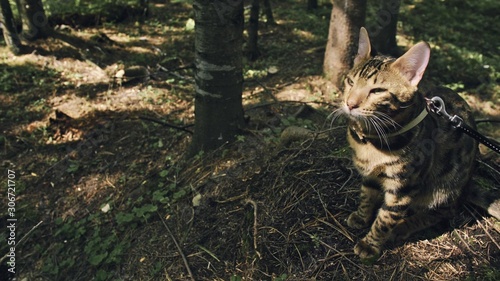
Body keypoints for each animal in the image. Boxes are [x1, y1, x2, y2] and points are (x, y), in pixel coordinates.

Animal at [338, 27, 498, 262]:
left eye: (377, 91)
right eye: (350, 82)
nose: (350, 104)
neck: (373, 140)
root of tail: (466, 186)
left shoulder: (403, 187)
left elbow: (385, 218)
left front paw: (371, 243)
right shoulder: (369, 174)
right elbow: (367, 195)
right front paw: (361, 216)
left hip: (445, 186)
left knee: (443, 212)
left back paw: (404, 227)